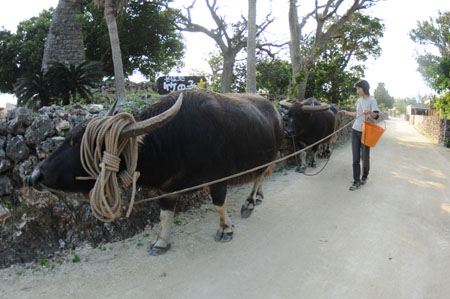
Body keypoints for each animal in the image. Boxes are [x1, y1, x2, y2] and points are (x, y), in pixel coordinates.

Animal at [29, 88, 284, 256]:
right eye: (69, 136)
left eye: (83, 144)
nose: (35, 176)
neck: (176, 139)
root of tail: (274, 109)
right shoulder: (166, 189)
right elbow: (164, 216)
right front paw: (161, 243)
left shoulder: (218, 179)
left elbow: (219, 206)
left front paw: (226, 230)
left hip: (272, 155)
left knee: (260, 177)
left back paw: (250, 203)